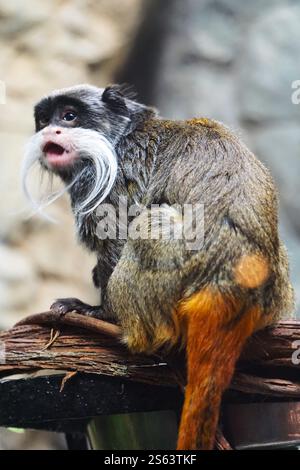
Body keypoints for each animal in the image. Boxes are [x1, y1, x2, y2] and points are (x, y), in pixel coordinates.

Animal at [22, 83, 294, 448]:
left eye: (69, 116)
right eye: (44, 120)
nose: (52, 130)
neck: (120, 136)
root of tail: (227, 285)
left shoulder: (115, 174)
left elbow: (119, 229)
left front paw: (97, 310)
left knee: (150, 224)